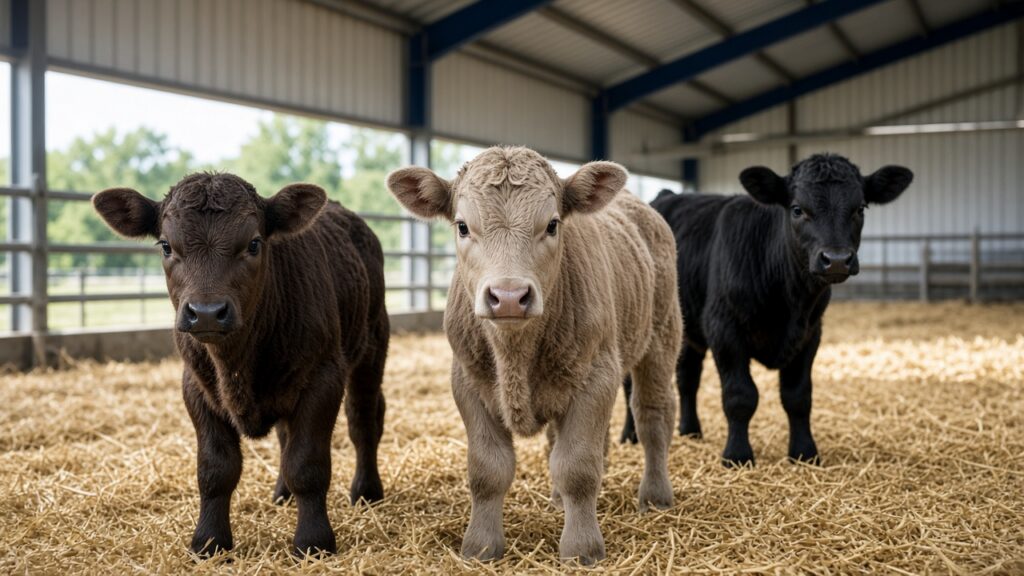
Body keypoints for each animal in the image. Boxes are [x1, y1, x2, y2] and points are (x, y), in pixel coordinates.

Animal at [92, 173, 389, 557]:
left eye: (254, 243)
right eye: (166, 246)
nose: (206, 312)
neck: (237, 363)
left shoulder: (324, 377)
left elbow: (307, 463)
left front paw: (313, 541)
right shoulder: (196, 387)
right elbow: (216, 468)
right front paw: (209, 541)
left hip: (372, 346)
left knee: (363, 420)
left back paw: (366, 492)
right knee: (285, 434)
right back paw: (283, 494)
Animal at [386, 147, 681, 565]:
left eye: (553, 224)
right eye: (462, 226)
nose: (509, 296)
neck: (515, 354)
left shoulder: (597, 375)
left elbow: (577, 466)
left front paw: (582, 548)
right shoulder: (467, 382)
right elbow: (487, 470)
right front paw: (480, 546)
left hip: (661, 336)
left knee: (653, 415)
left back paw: (655, 496)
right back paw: (558, 500)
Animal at [619, 154, 912, 467]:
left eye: (860, 208)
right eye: (797, 209)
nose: (835, 259)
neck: (788, 302)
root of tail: (666, 196)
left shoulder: (810, 333)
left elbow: (798, 396)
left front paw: (804, 452)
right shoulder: (724, 329)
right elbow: (740, 395)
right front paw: (737, 455)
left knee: (687, 376)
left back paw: (690, 431)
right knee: (631, 384)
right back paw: (631, 436)